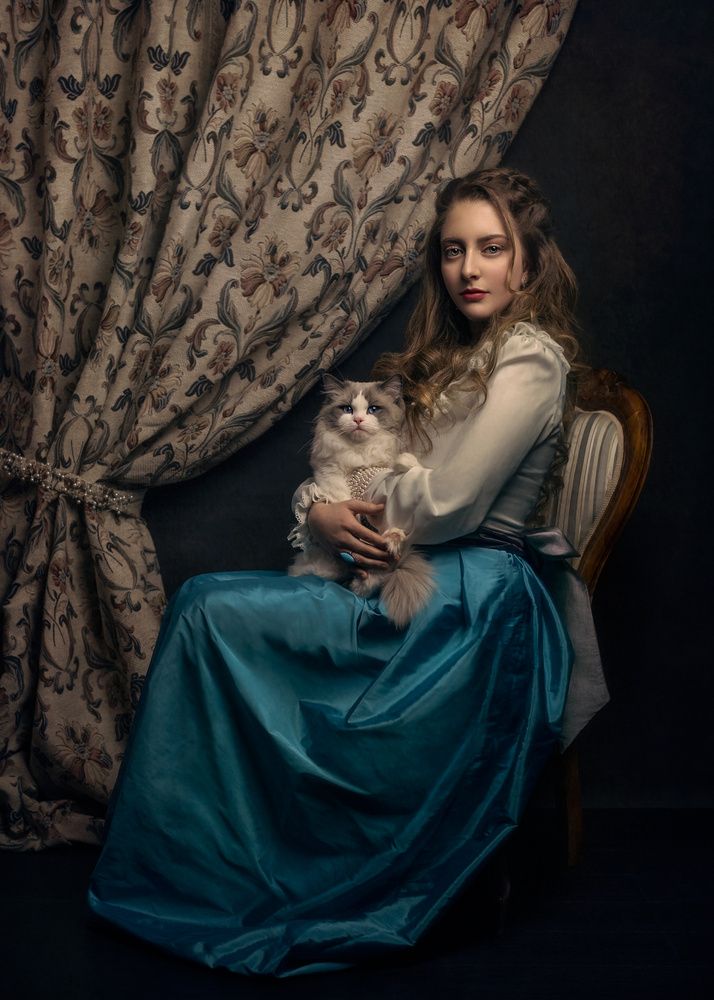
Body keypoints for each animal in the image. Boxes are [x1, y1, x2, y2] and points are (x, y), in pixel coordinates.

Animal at [286, 372, 432, 628]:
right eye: (347, 409)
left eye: (373, 409)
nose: (358, 420)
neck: (360, 454)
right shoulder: (329, 474)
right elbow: (337, 497)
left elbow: (406, 465)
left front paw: (404, 463)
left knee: (376, 575)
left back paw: (389, 544)